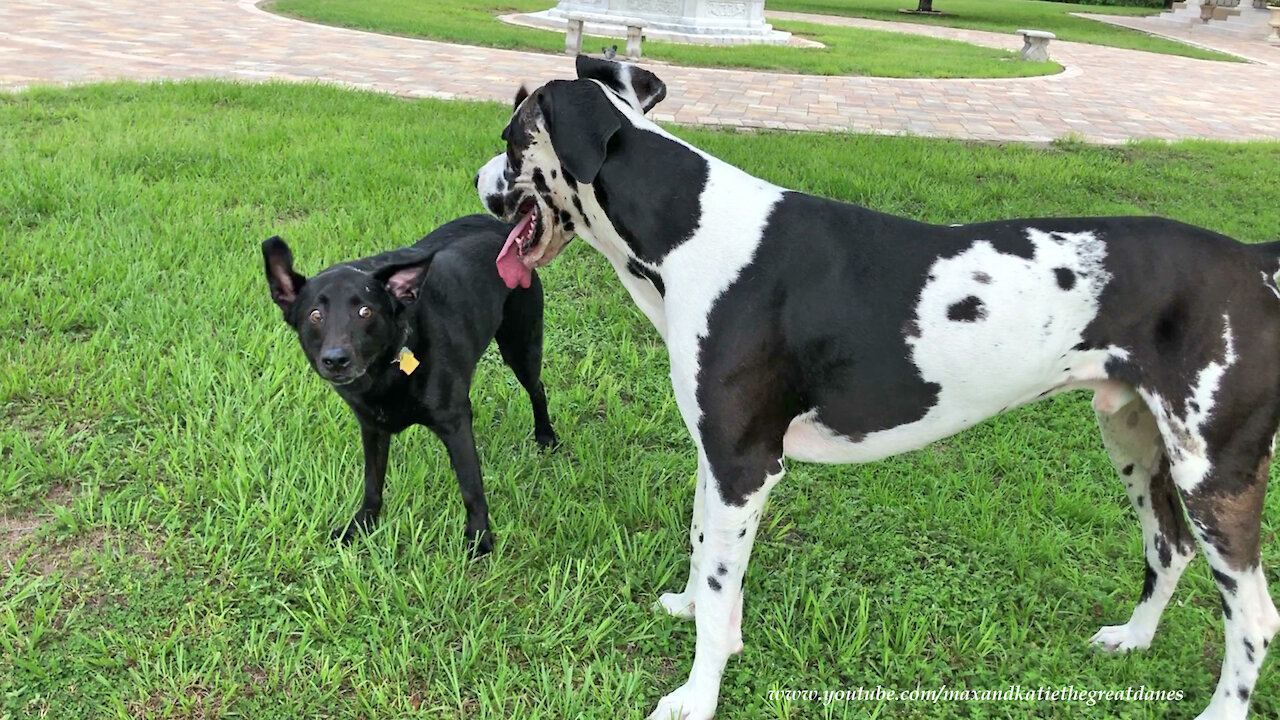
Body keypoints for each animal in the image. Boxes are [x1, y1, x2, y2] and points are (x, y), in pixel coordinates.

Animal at [263, 215, 555, 550]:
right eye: (315, 316)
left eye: (365, 311)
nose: (336, 360)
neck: (384, 372)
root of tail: (502, 226)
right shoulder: (372, 428)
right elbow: (372, 484)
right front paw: (361, 526)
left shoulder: (454, 423)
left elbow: (472, 488)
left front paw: (480, 539)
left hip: (521, 345)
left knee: (537, 389)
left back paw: (545, 435)